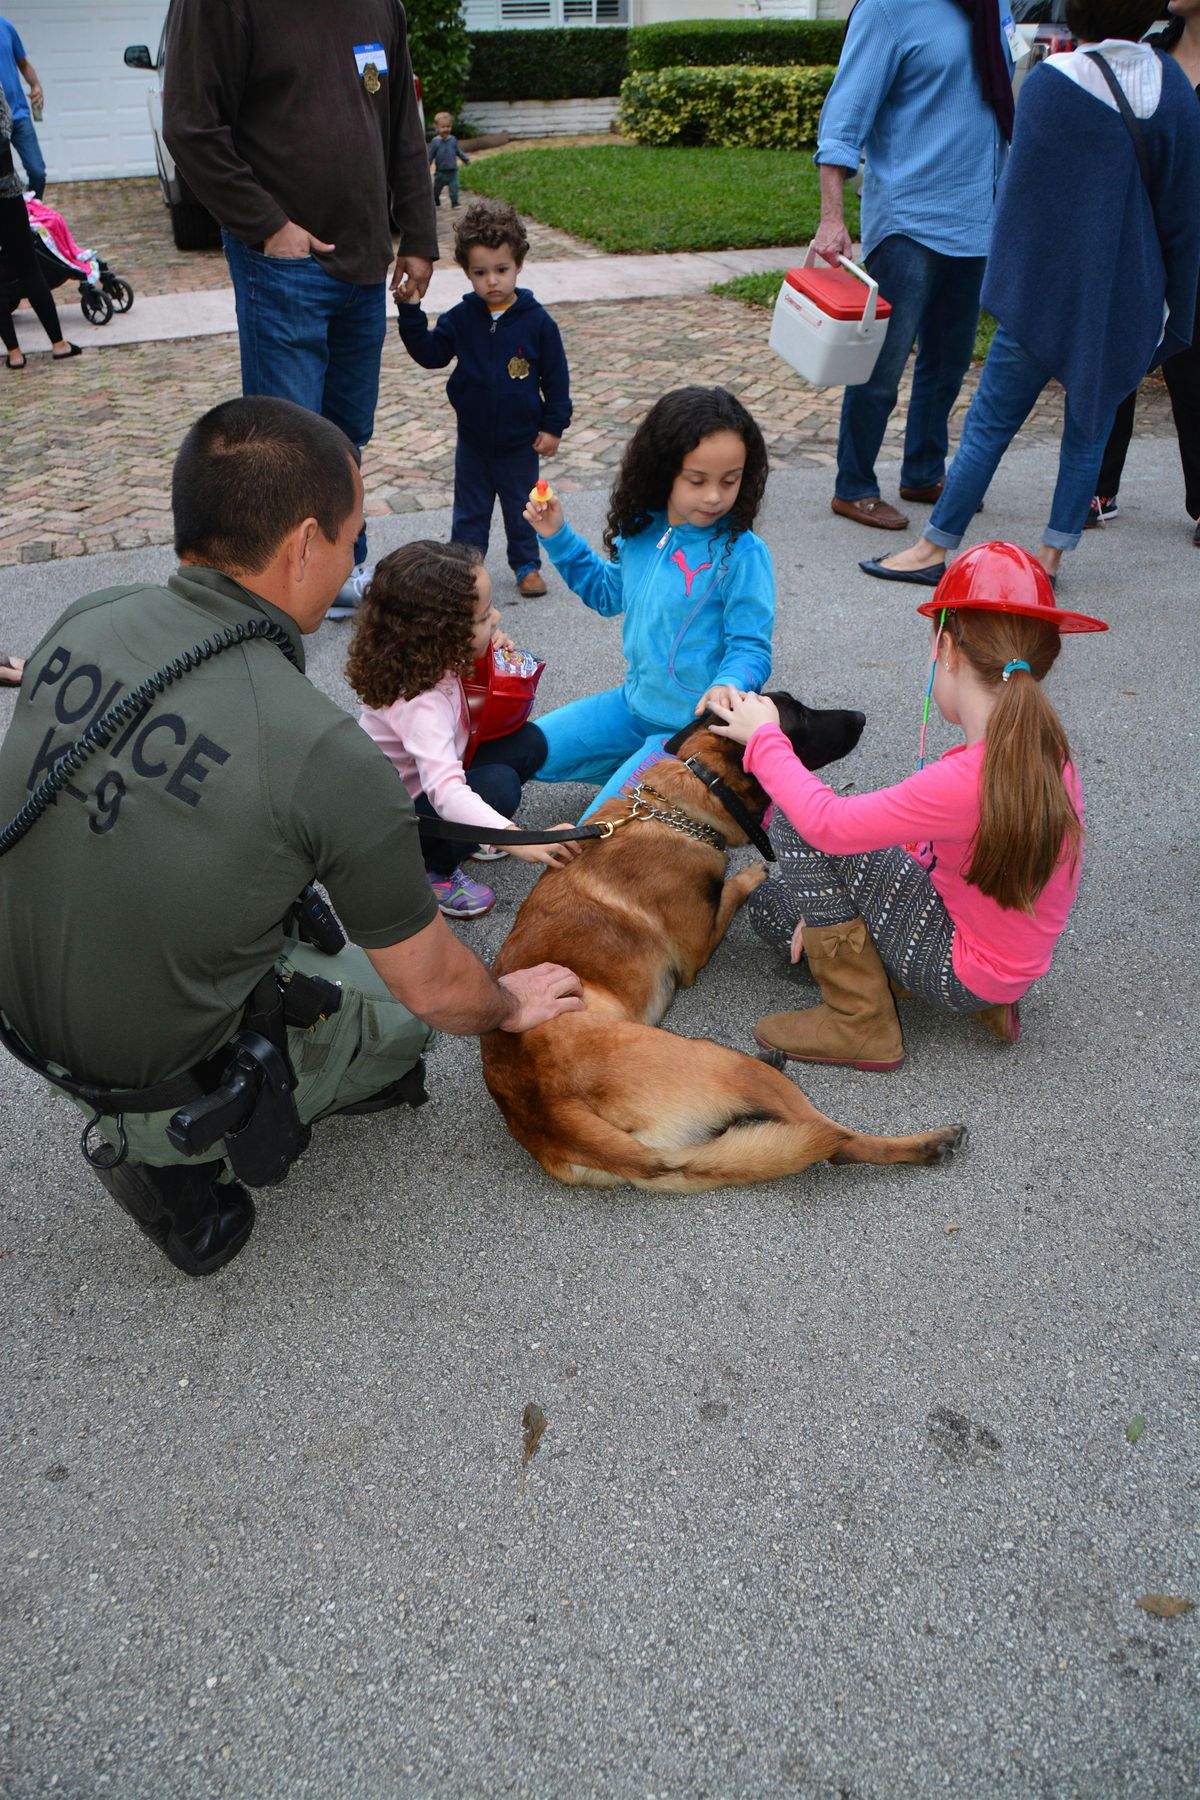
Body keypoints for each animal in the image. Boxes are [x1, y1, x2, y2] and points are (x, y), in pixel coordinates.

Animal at [478, 691, 964, 1195]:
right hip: (718, 1063)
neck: (679, 807)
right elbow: (731, 890)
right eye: (801, 717)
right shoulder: (698, 948)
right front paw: (750, 874)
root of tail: (552, 1115)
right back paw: (926, 1143)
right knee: (836, 1141)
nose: (861, 717)